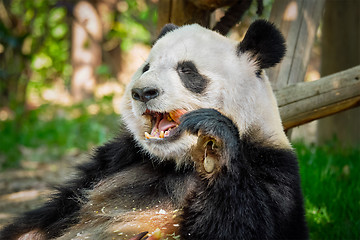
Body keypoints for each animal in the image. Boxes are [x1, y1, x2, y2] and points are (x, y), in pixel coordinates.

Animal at [1, 19, 308, 239]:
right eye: (146, 67)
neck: (175, 161)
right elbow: (50, 215)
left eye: (187, 70)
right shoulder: (115, 159)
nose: (142, 92)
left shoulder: (272, 170)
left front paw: (216, 143)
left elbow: (243, 225)